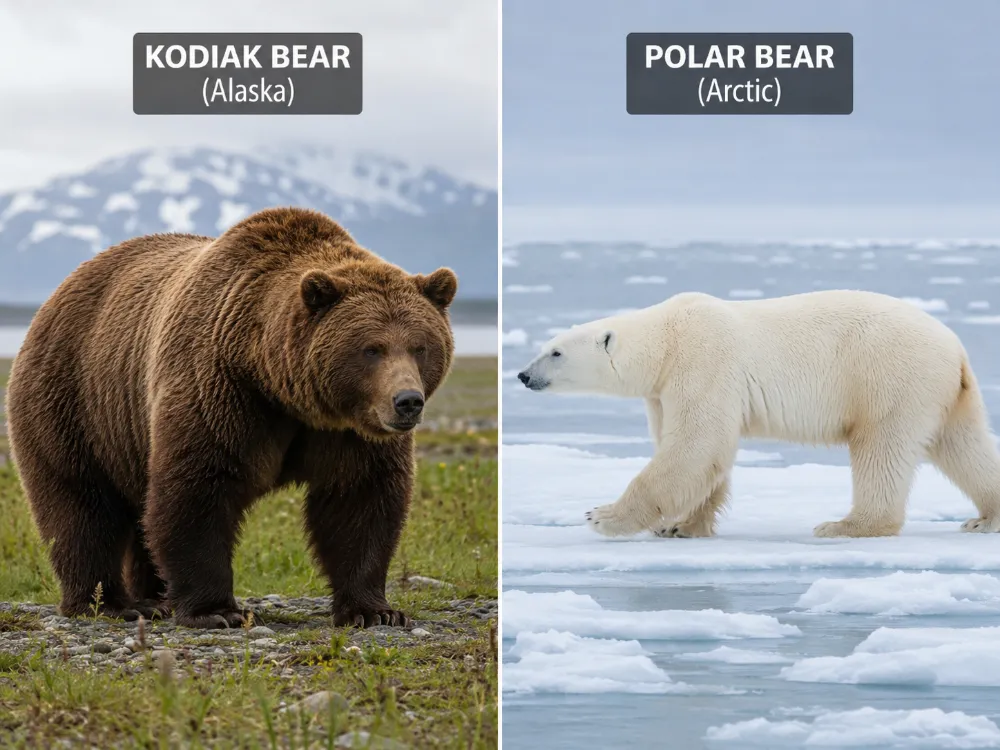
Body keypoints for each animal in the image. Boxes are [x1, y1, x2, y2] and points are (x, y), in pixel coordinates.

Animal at [5, 207, 457, 628]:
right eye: (372, 348)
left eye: (420, 346)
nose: (407, 401)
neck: (281, 387)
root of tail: (57, 294)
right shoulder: (220, 388)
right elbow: (197, 490)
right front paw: (216, 611)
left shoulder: (349, 432)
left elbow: (360, 500)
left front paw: (374, 611)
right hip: (76, 402)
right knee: (82, 506)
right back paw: (110, 604)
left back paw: (154, 598)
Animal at [516, 289, 1000, 539]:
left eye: (555, 352)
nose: (522, 374)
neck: (667, 338)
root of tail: (954, 346)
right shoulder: (662, 391)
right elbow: (700, 456)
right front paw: (680, 526)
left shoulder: (703, 360)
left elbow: (696, 445)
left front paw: (602, 517)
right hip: (945, 394)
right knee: (964, 445)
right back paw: (985, 518)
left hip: (888, 376)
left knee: (881, 447)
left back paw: (845, 525)